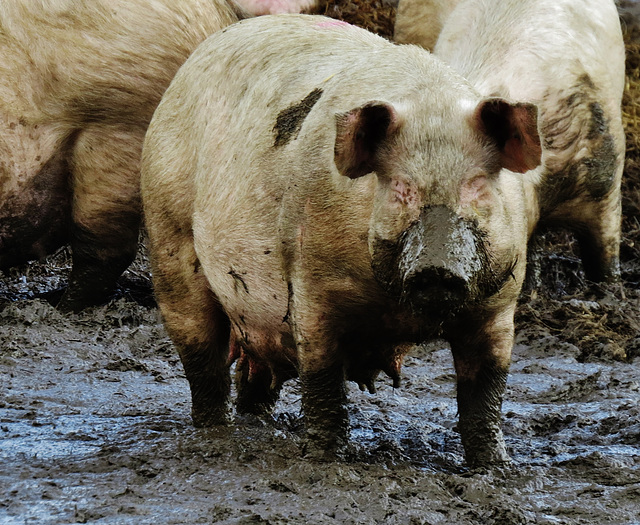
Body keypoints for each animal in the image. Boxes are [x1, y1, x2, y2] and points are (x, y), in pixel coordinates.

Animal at [142, 13, 544, 466]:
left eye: (476, 185)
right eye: (399, 187)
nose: (436, 267)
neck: (394, 308)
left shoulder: (498, 305)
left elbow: (485, 389)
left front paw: (495, 467)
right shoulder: (311, 285)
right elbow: (323, 380)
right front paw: (325, 458)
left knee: (256, 373)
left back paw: (255, 424)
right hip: (167, 232)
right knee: (201, 354)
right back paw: (214, 430)